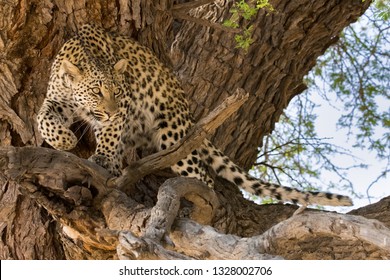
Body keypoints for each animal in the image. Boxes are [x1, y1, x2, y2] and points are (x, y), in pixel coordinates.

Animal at [37, 24, 354, 207]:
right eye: (96, 91)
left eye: (116, 92)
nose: (111, 111)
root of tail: (188, 111)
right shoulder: (56, 99)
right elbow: (43, 119)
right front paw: (64, 139)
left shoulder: (123, 107)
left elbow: (109, 135)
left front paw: (100, 157)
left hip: (173, 136)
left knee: (205, 179)